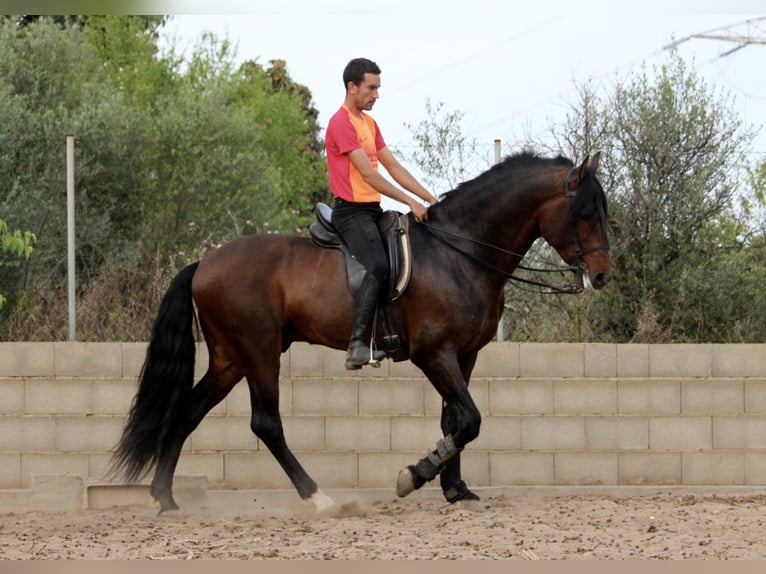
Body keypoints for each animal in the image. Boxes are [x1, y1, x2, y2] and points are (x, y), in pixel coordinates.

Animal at [111, 151, 612, 516]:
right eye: (585, 212)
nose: (603, 276)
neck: (460, 252)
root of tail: (204, 263)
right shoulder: (434, 353)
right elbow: (470, 419)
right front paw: (414, 476)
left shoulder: (463, 354)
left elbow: (455, 421)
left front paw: (455, 489)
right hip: (259, 352)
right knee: (266, 424)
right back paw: (320, 498)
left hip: (230, 359)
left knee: (188, 413)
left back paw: (166, 499)